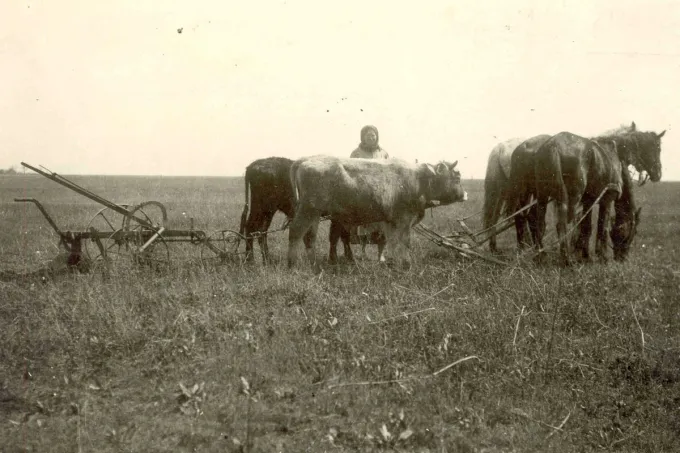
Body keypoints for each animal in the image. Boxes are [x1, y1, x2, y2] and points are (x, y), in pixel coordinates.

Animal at [287, 156, 468, 271]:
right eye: (457, 178)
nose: (465, 194)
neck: (418, 180)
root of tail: (305, 159)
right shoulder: (404, 219)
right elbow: (405, 242)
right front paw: (406, 265)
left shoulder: (390, 221)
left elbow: (392, 242)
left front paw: (394, 263)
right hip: (308, 210)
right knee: (295, 232)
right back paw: (292, 264)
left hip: (315, 214)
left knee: (310, 237)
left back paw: (314, 265)